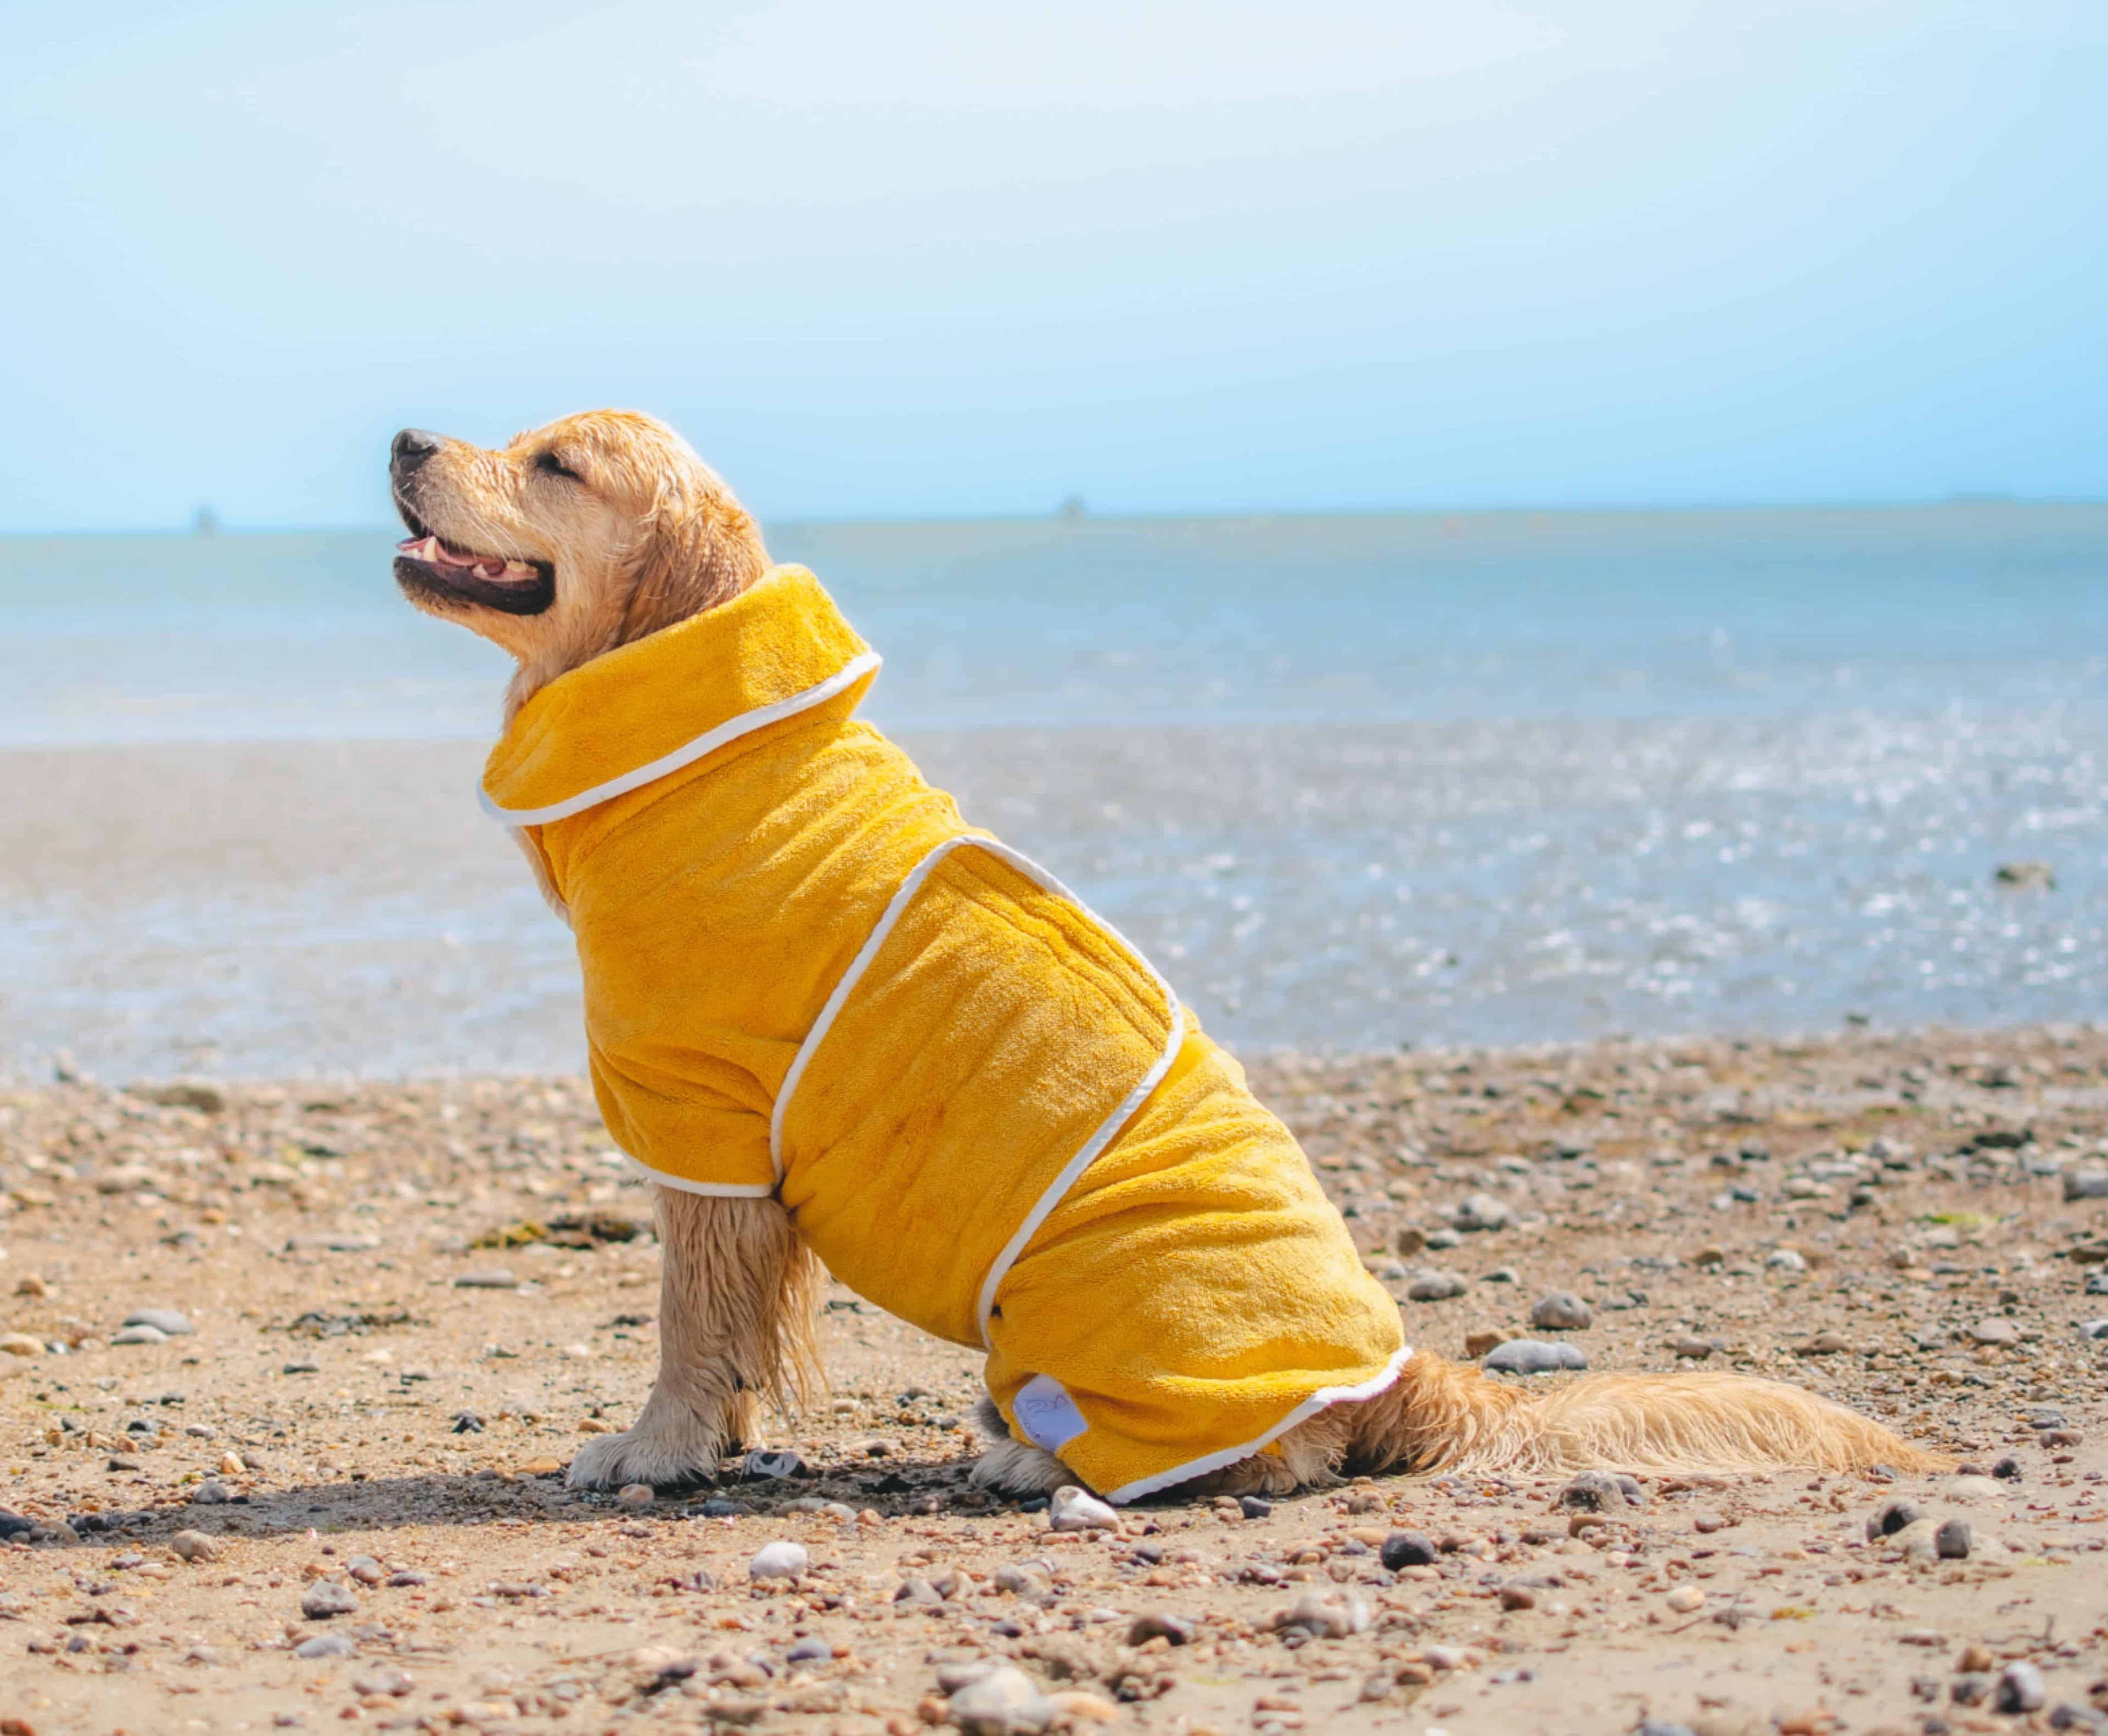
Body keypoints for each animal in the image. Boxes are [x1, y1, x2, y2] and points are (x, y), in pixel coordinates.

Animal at [388, 411, 1931, 1508]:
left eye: (558, 461)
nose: (404, 439)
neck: (708, 754)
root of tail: (1399, 1370)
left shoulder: (702, 1127)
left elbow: (689, 1328)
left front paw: (650, 1449)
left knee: (1278, 1458)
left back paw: (1036, 1457)